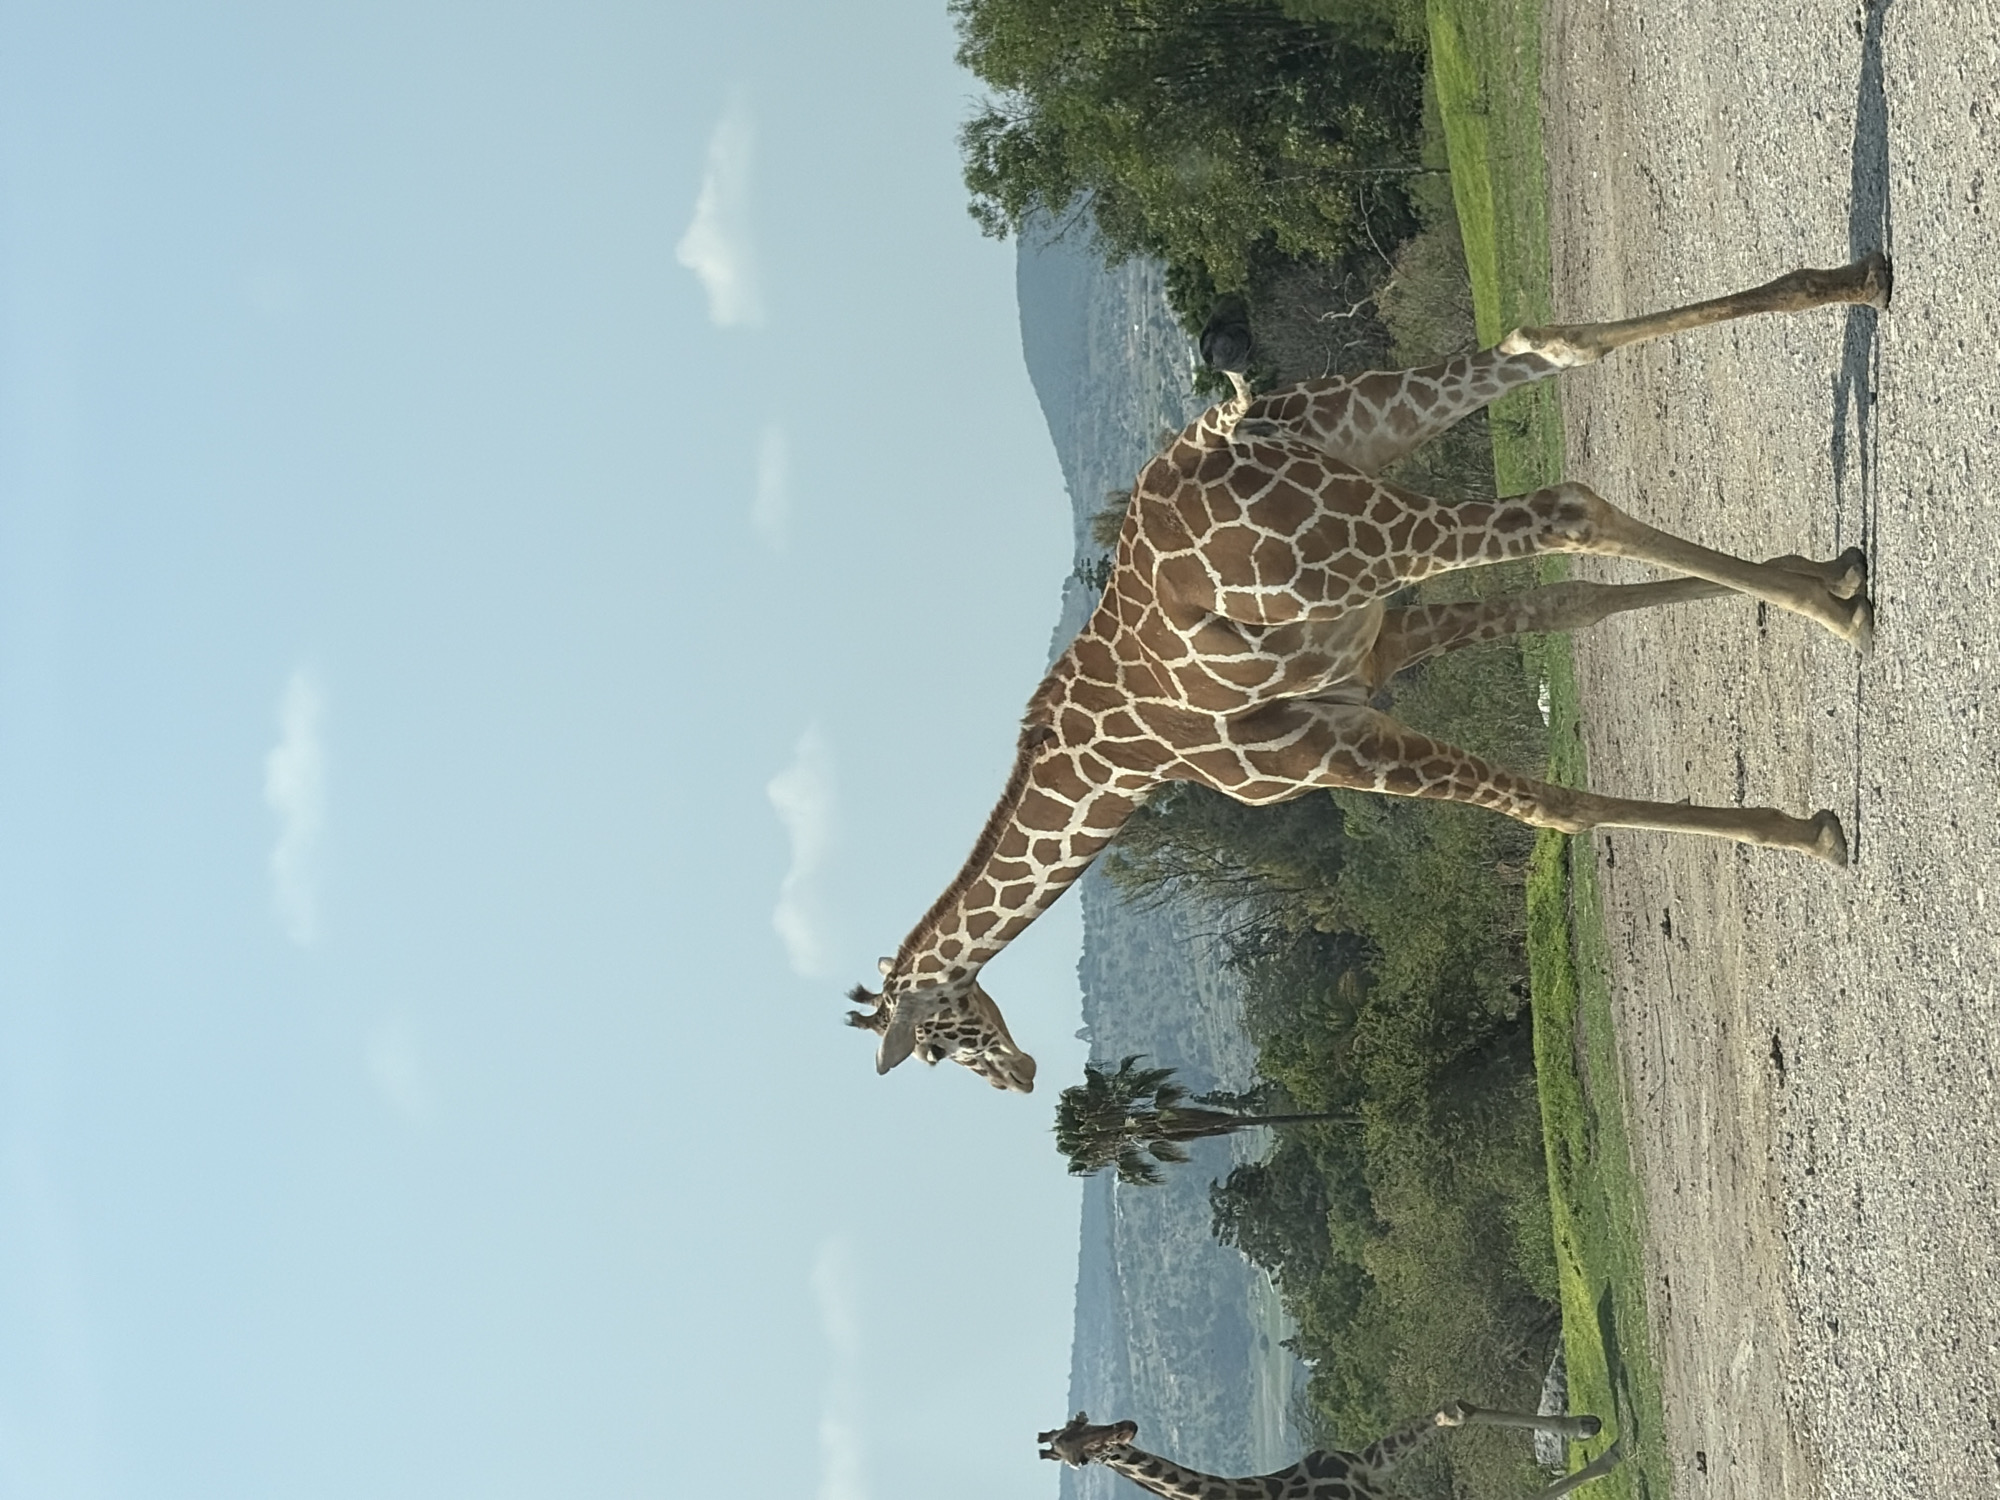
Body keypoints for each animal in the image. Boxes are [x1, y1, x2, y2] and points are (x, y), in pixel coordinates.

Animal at [849, 253, 1890, 1091]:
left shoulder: (1318, 752)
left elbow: (1552, 806)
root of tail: (1229, 431)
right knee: (1552, 348)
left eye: (939, 1041)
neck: (1125, 764)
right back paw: (1856, 299)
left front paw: (1805, 832)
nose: (1018, 1075)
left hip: (1358, 540)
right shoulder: (1379, 647)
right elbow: (1572, 609)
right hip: (1365, 431)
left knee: (1568, 509)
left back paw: (1839, 620)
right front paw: (1814, 572)